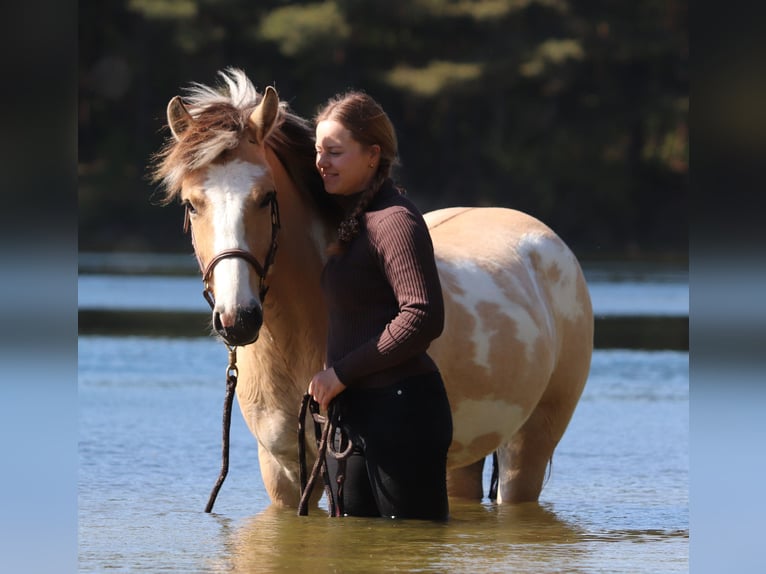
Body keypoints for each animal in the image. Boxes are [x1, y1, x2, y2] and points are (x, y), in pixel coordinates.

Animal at [152, 68, 593, 508]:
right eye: (192, 204)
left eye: (265, 197)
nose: (238, 319)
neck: (297, 339)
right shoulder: (282, 471)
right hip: (463, 459)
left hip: (527, 448)